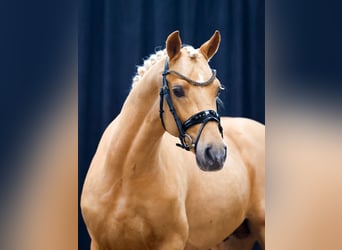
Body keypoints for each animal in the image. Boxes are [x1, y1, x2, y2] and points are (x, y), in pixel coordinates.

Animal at [81, 30, 264, 249]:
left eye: (217, 90)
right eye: (177, 90)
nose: (216, 154)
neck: (124, 176)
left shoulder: (171, 242)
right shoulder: (98, 243)